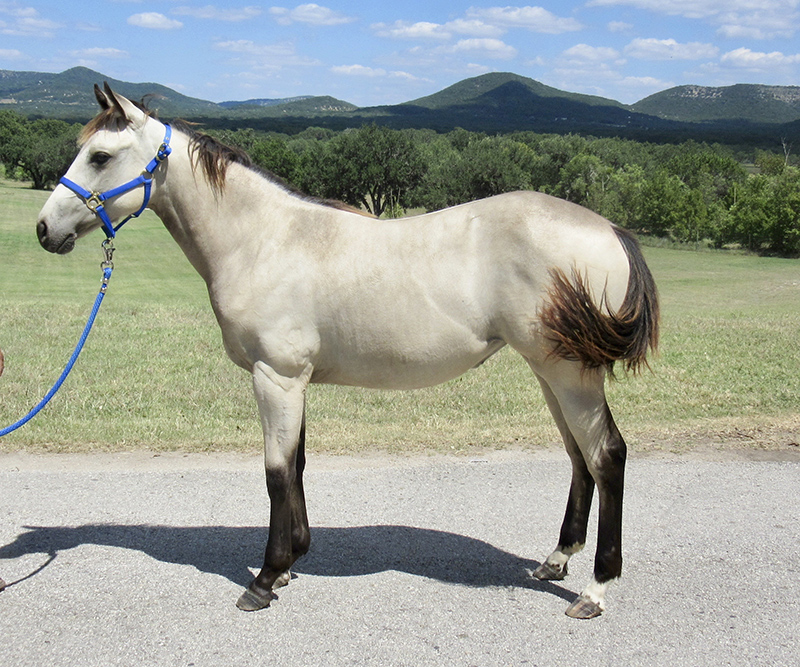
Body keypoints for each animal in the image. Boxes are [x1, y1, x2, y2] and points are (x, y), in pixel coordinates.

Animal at [34, 85, 660, 620]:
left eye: (100, 156)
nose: (44, 230)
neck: (264, 240)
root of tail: (610, 229)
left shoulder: (276, 377)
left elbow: (276, 473)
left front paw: (265, 578)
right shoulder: (294, 380)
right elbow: (298, 465)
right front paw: (293, 561)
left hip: (570, 373)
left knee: (607, 455)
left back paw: (596, 589)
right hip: (549, 372)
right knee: (579, 456)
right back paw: (555, 562)